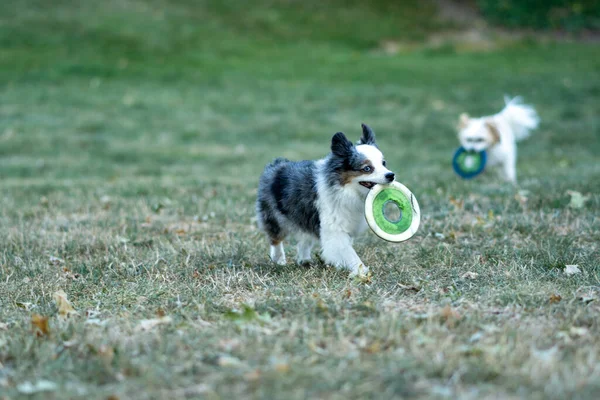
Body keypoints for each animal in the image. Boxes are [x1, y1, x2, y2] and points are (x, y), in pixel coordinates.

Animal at [256, 123, 394, 276]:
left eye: (384, 163)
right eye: (367, 168)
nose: (391, 175)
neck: (346, 189)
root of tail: (276, 164)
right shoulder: (334, 229)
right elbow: (348, 251)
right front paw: (361, 271)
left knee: (305, 237)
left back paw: (304, 260)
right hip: (274, 216)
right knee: (276, 238)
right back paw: (278, 259)